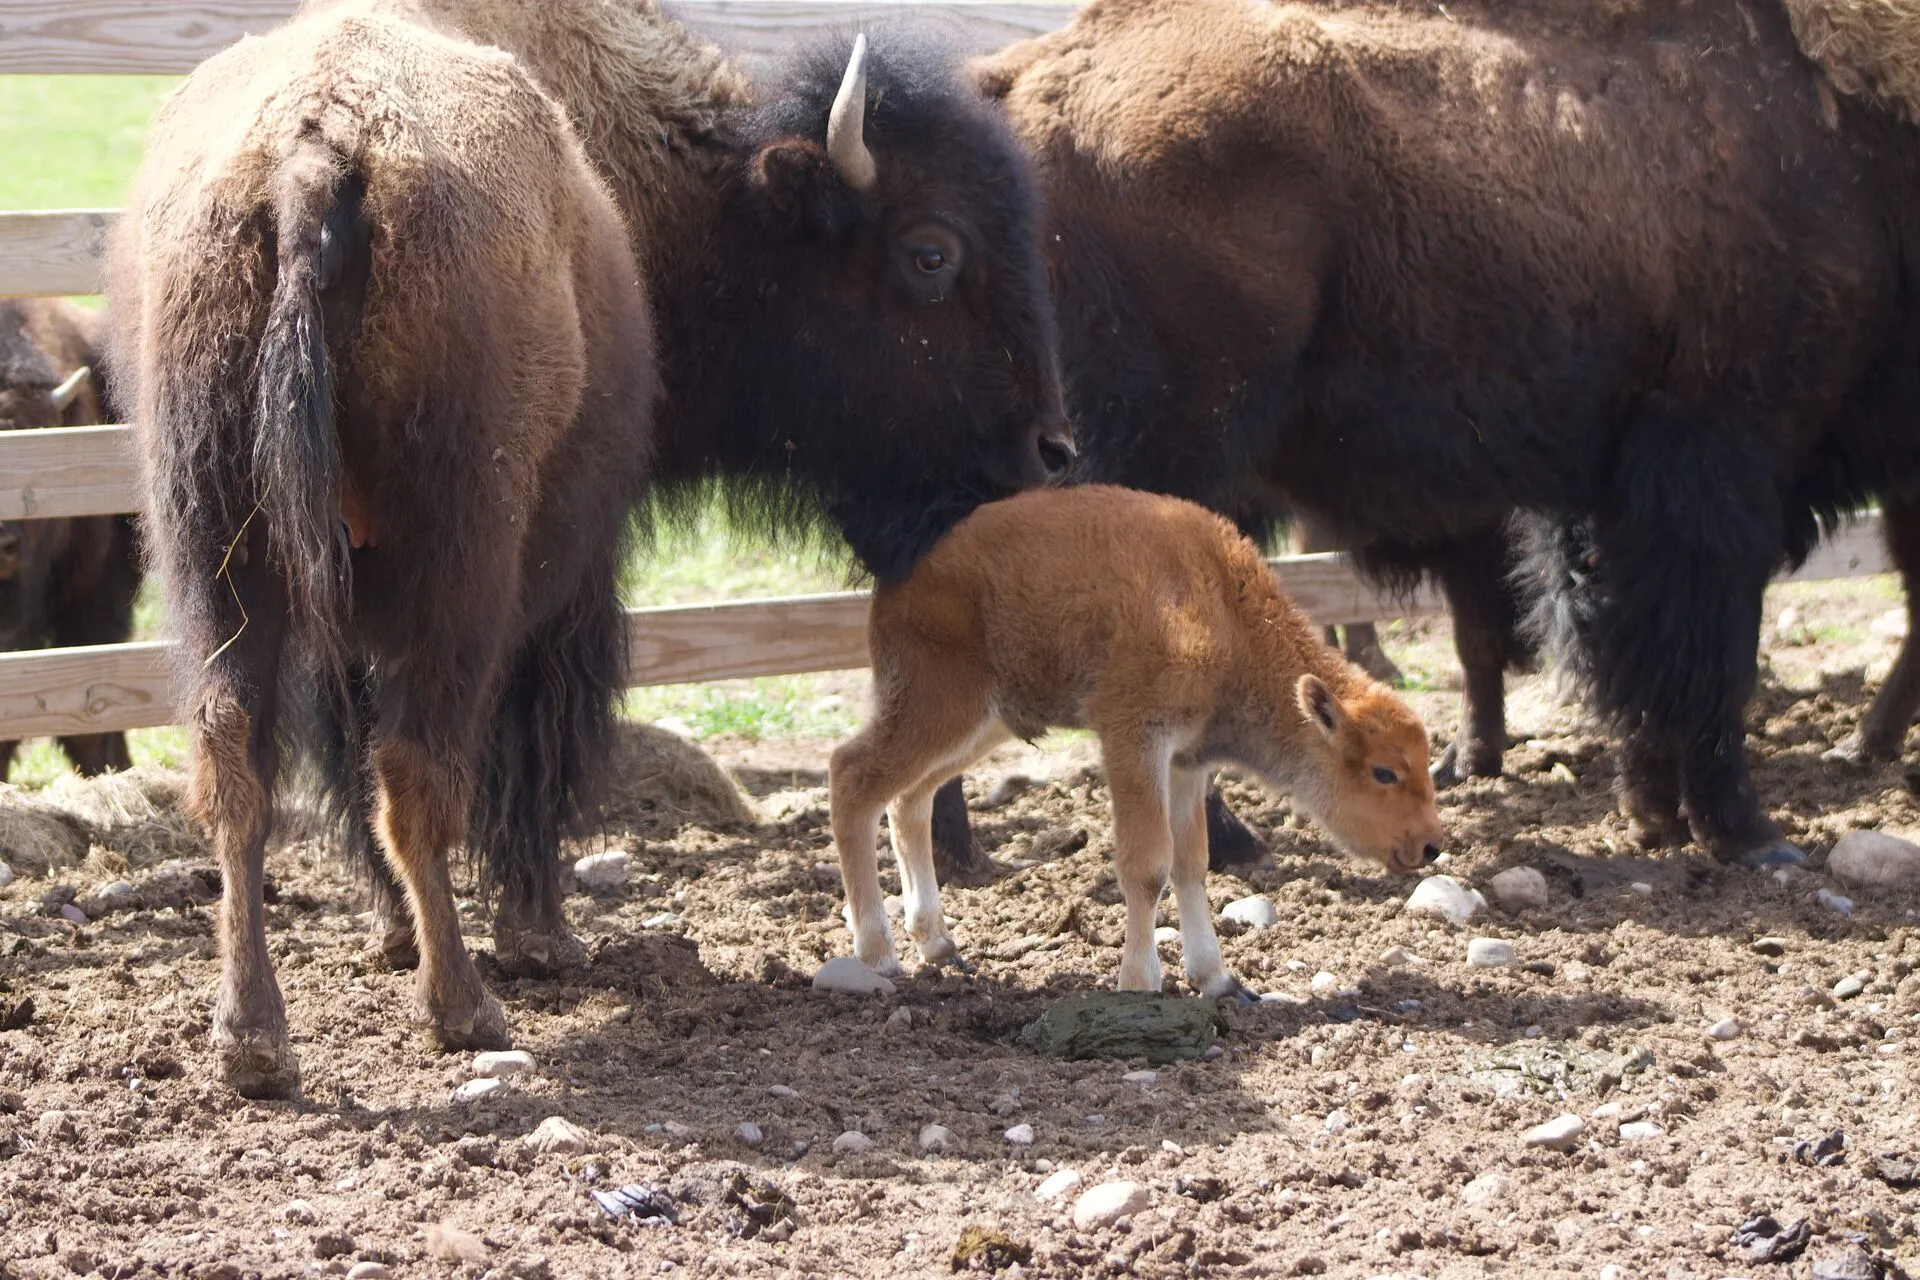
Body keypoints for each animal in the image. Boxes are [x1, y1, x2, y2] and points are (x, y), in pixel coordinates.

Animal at [959, 0, 1920, 870]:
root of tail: (1022, 84)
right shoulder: (1722, 457)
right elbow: (1707, 656)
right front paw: (1751, 838)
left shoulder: (1619, 493)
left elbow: (1630, 648)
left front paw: (1658, 817)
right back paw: (1227, 845)